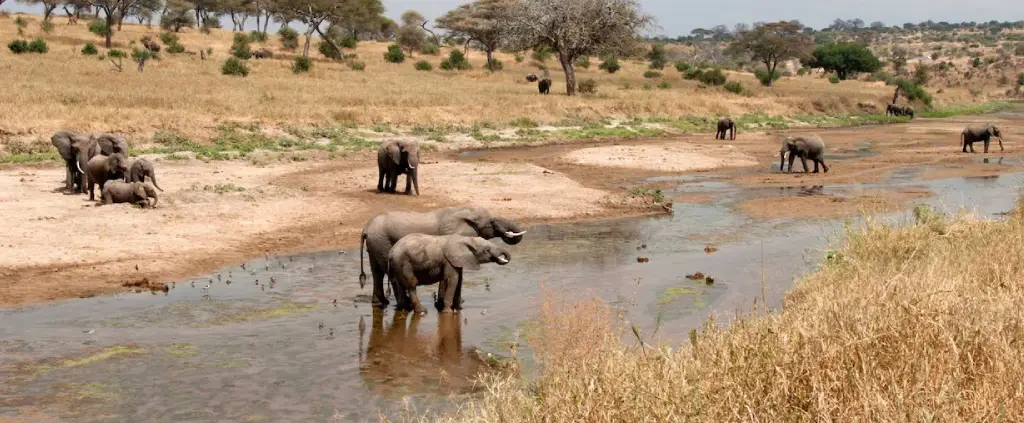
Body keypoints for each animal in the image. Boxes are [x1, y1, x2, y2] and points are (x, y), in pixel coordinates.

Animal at [358, 206, 524, 307]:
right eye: (492, 221)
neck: (464, 212)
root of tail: (365, 228)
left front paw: (454, 304)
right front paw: (449, 304)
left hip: (375, 244)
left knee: (377, 273)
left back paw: (381, 303)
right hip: (382, 242)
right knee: (389, 273)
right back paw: (405, 304)